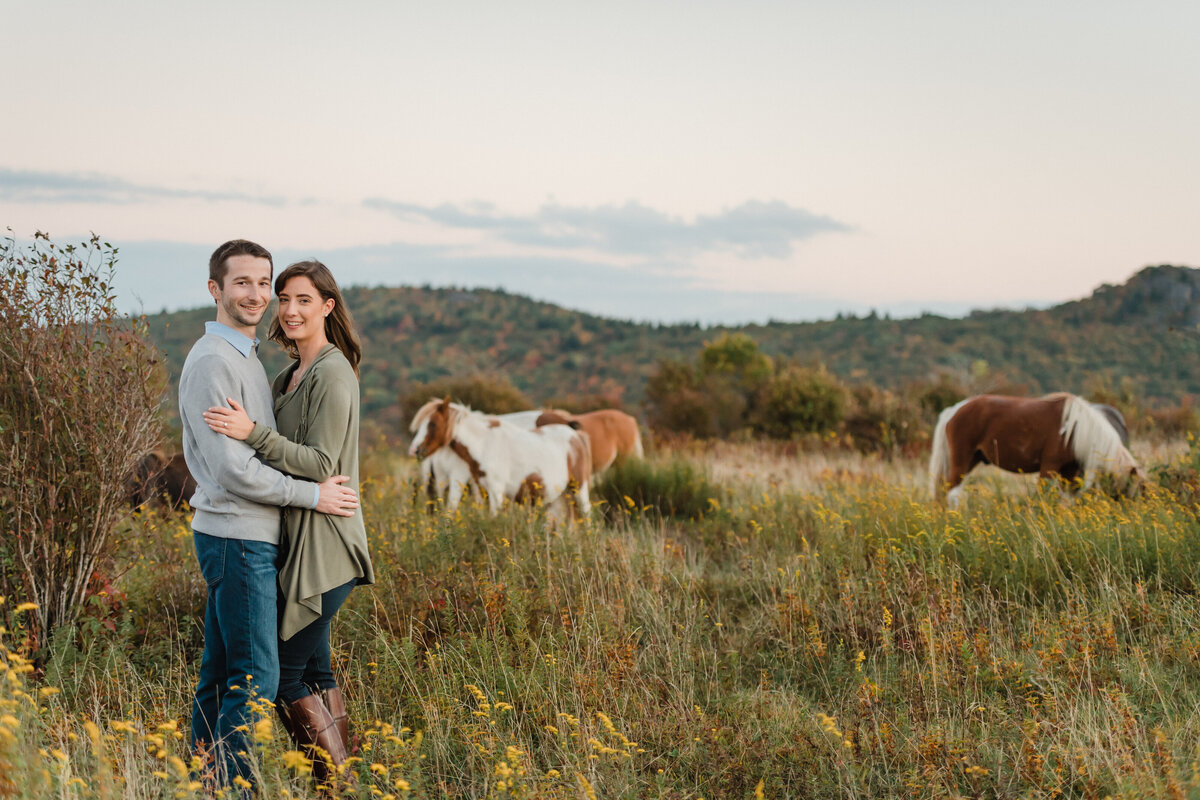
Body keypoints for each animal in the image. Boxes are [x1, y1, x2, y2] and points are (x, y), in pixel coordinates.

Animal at [408, 398, 590, 520]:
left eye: (432, 424)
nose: (415, 450)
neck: (484, 444)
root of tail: (574, 435)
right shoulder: (481, 490)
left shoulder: (493, 491)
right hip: (557, 496)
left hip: (578, 487)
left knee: (586, 514)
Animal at [926, 393, 1142, 510]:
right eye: (1131, 491)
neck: (1075, 429)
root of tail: (954, 410)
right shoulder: (1049, 467)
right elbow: (1045, 497)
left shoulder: (1070, 471)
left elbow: (1066, 500)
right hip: (962, 460)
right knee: (952, 493)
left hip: (972, 460)